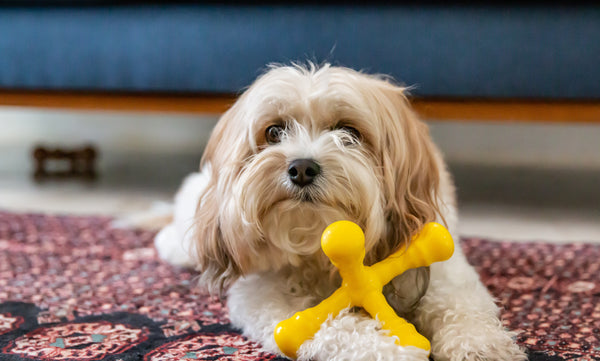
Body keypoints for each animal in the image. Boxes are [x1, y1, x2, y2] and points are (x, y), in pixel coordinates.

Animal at [154, 64, 524, 360]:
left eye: (348, 132)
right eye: (273, 132)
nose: (301, 168)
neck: (320, 249)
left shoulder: (442, 267)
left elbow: (462, 308)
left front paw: (481, 346)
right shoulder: (265, 297)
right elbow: (333, 326)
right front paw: (388, 350)